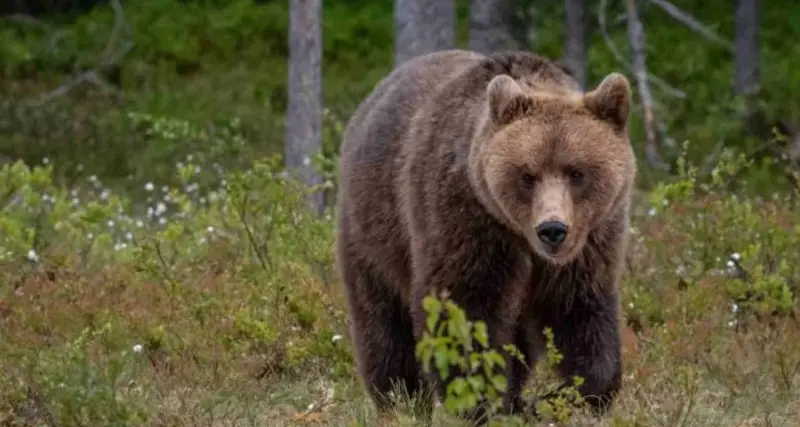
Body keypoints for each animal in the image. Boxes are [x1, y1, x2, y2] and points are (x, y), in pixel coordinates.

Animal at [334, 48, 636, 422]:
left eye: (577, 172)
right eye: (527, 175)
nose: (552, 229)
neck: (521, 237)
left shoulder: (590, 241)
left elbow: (580, 310)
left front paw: (578, 396)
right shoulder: (467, 220)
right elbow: (463, 306)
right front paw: (479, 399)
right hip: (374, 228)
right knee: (383, 322)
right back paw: (401, 400)